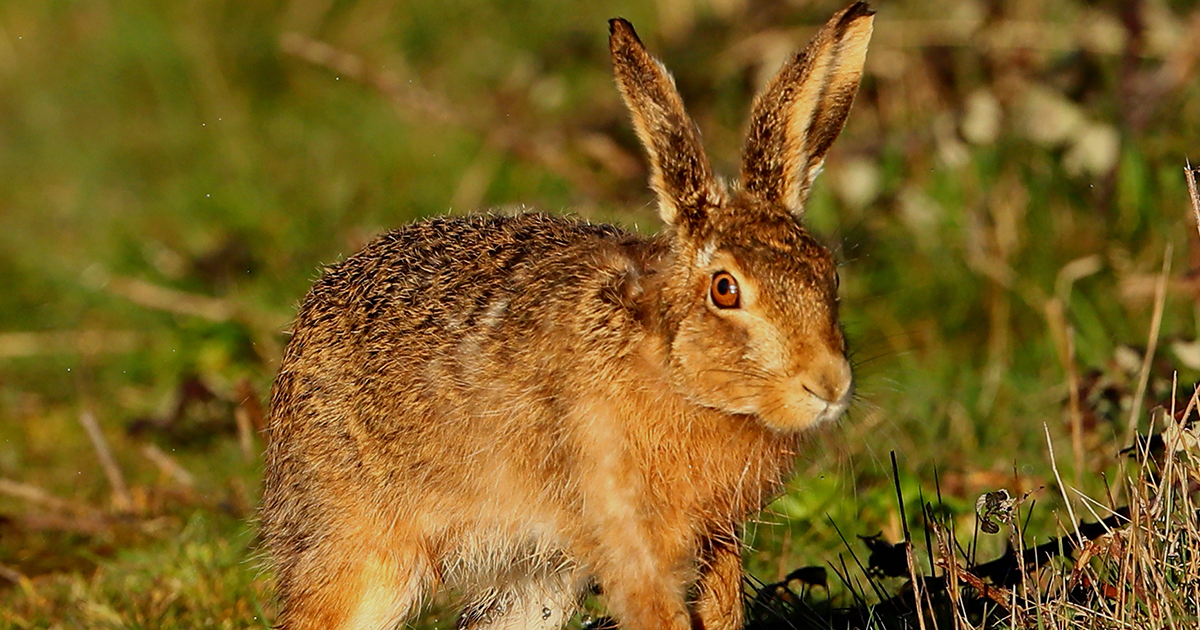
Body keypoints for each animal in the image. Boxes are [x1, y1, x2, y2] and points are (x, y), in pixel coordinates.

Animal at [261, 3, 872, 630]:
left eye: (829, 273)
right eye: (725, 290)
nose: (827, 384)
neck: (674, 373)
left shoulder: (714, 533)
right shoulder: (624, 528)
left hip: (536, 585)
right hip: (361, 548)